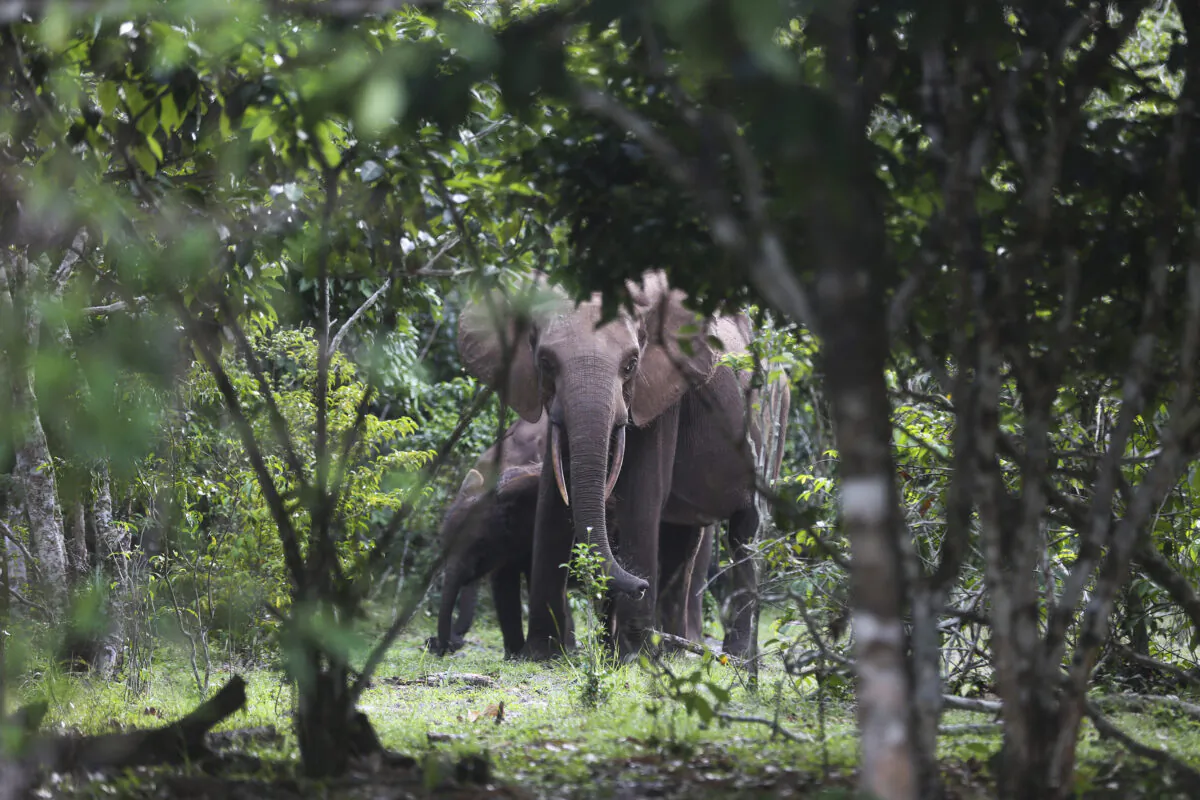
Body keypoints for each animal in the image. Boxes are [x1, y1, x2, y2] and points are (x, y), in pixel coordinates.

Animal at [457, 270, 789, 660]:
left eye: (631, 364)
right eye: (545, 363)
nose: (640, 584)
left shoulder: (662, 393)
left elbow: (642, 493)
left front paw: (632, 656)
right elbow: (554, 499)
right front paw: (541, 654)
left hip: (775, 418)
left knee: (745, 530)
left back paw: (732, 656)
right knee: (682, 537)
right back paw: (674, 650)